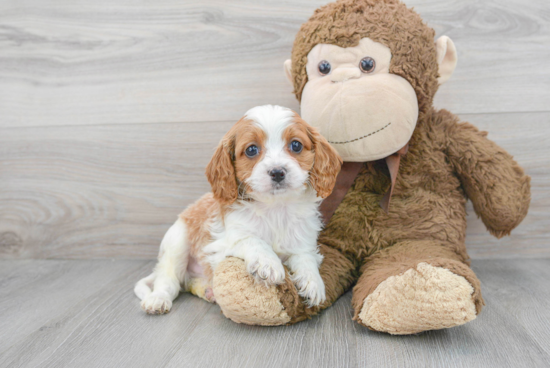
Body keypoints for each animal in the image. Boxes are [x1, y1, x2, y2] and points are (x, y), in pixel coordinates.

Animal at [135, 105, 340, 314]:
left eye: (296, 145)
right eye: (251, 150)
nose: (277, 172)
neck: (275, 207)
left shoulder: (303, 241)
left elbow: (305, 257)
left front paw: (313, 282)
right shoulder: (221, 245)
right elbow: (251, 240)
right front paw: (268, 262)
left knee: (188, 283)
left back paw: (208, 291)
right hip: (177, 243)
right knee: (169, 281)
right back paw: (158, 299)